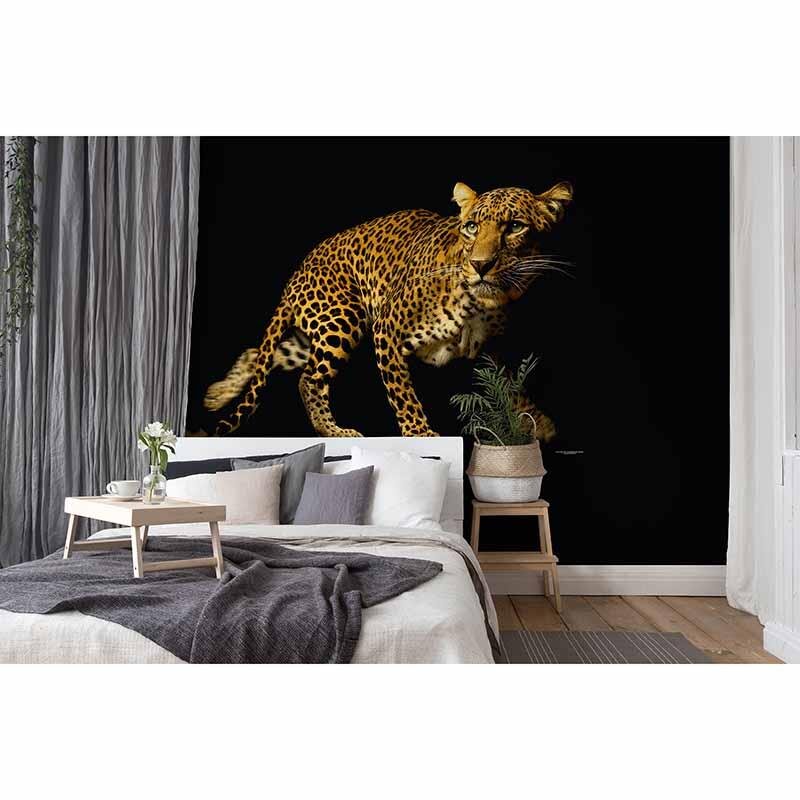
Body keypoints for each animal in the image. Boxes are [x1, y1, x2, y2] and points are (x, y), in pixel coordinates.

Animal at [204, 180, 573, 438]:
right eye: (472, 227)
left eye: (515, 227)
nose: (480, 265)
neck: (478, 302)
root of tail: (298, 272)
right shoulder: (388, 328)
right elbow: (402, 392)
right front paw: (420, 434)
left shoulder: (491, 351)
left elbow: (510, 387)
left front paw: (536, 424)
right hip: (342, 320)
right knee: (309, 378)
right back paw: (333, 432)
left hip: (315, 333)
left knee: (261, 356)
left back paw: (217, 394)